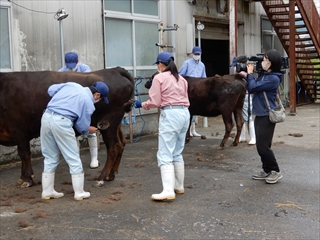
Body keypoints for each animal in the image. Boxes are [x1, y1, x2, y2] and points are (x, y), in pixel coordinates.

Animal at [0, 67, 134, 188]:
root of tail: (114, 70)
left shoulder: (18, 129)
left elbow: (24, 154)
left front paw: (27, 179)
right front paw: (23, 178)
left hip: (109, 123)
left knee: (113, 147)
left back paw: (101, 178)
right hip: (115, 124)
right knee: (121, 143)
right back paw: (110, 175)